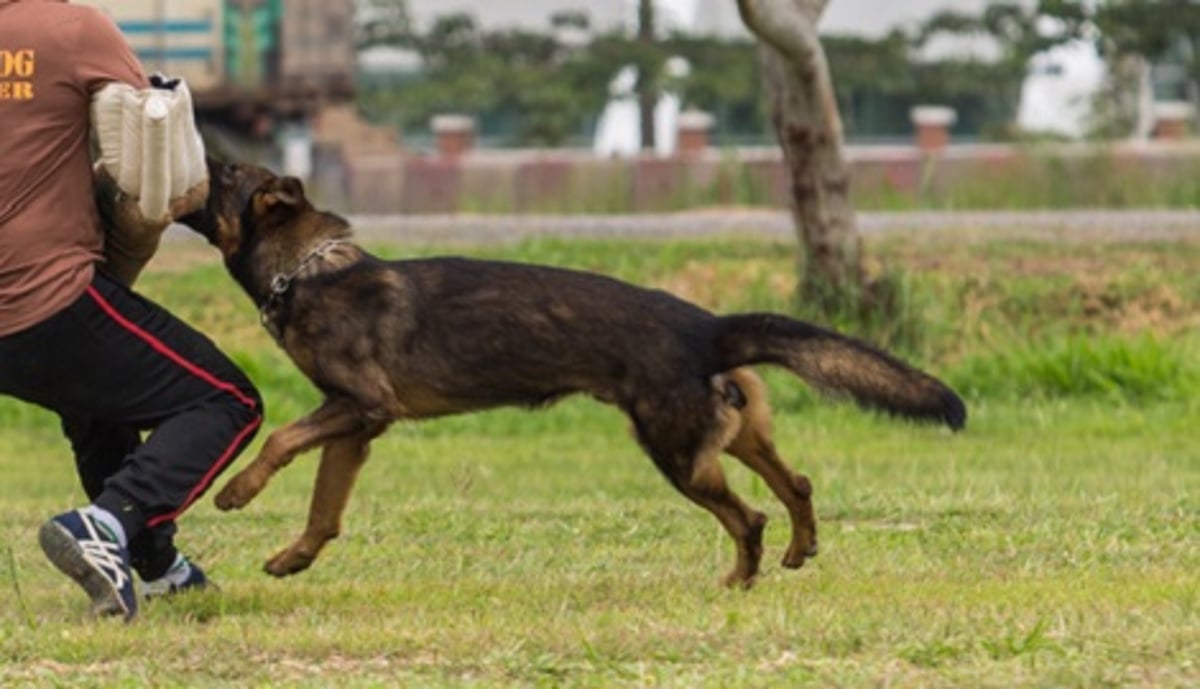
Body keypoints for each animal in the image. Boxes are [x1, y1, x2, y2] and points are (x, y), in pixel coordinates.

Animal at [175, 160, 964, 588]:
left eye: (223, 174)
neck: (308, 272)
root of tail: (706, 329)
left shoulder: (358, 405)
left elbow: (281, 439)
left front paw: (237, 492)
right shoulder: (357, 425)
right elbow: (325, 510)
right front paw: (295, 557)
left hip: (678, 453)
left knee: (751, 515)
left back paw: (739, 580)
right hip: (734, 436)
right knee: (795, 484)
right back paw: (800, 551)